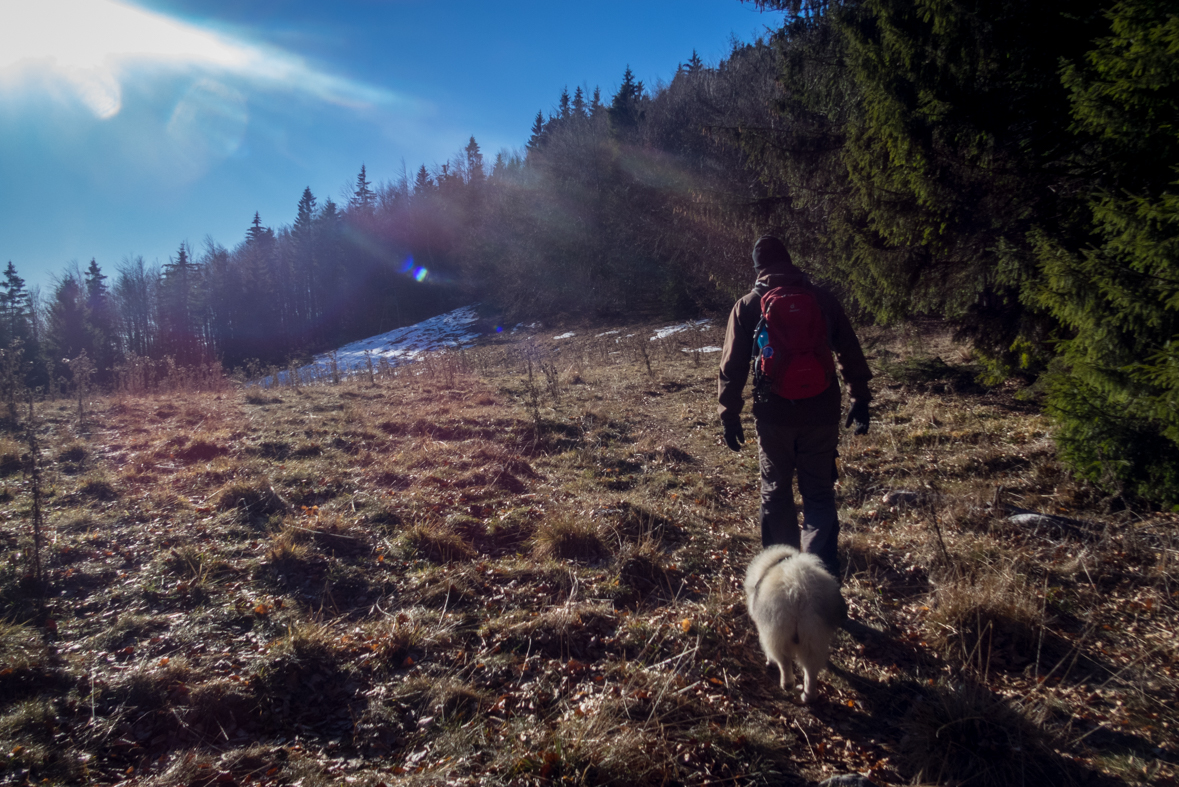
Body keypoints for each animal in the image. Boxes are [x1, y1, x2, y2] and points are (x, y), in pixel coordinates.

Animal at [745, 544, 848, 702]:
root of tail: (799, 592)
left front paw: (770, 663)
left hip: (777, 632)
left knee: (784, 660)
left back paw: (787, 684)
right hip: (813, 635)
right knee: (811, 669)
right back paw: (808, 696)